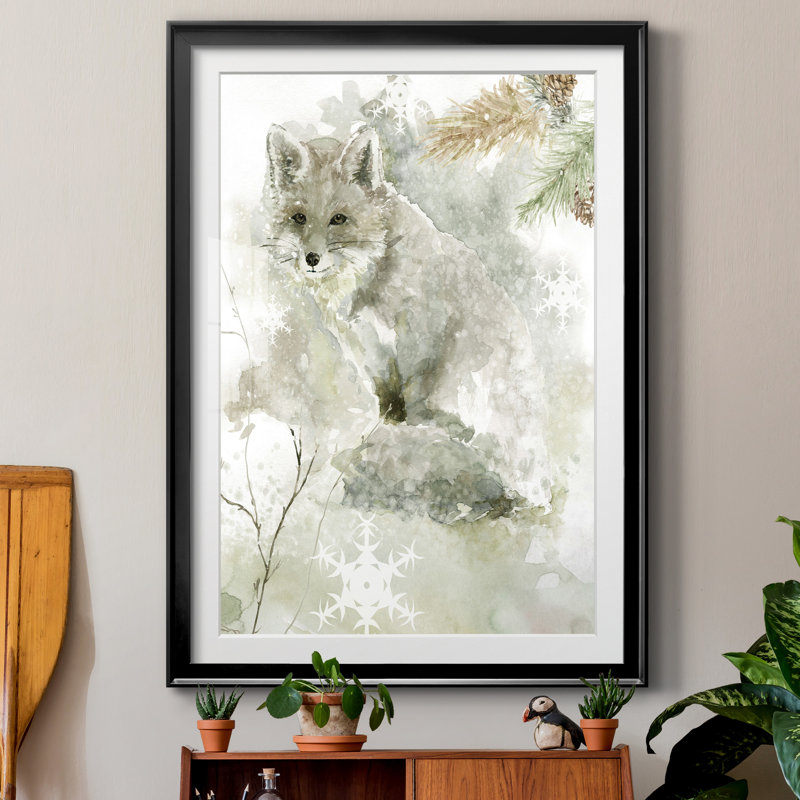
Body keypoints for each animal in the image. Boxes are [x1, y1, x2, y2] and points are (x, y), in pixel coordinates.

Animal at [234, 123, 552, 523]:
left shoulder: (419, 343)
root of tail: (532, 492)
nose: (311, 258)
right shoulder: (367, 351)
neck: (368, 272)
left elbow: (409, 410)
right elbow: (388, 410)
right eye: (299, 218)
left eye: (338, 219)